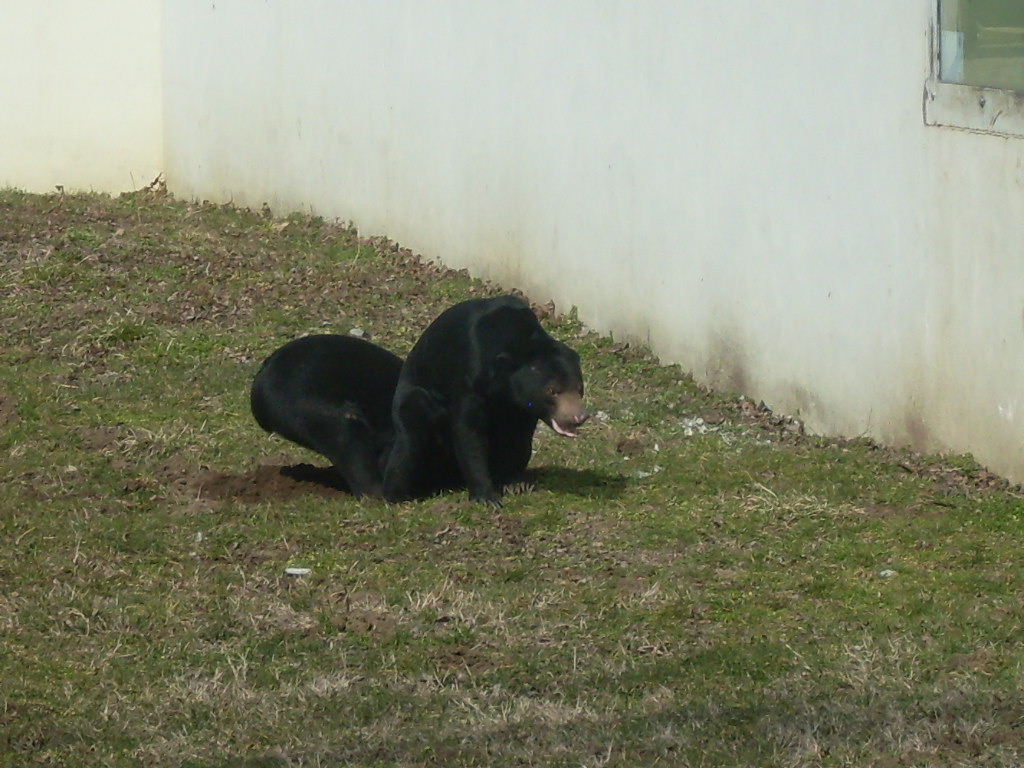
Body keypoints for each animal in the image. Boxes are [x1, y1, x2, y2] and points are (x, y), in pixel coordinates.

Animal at [383, 295, 587, 507]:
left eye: (579, 388)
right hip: (413, 403)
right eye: (552, 391)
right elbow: (469, 431)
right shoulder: (468, 376)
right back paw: (400, 494)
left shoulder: (519, 406)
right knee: (411, 435)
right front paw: (488, 498)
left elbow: (516, 437)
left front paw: (514, 483)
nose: (579, 417)